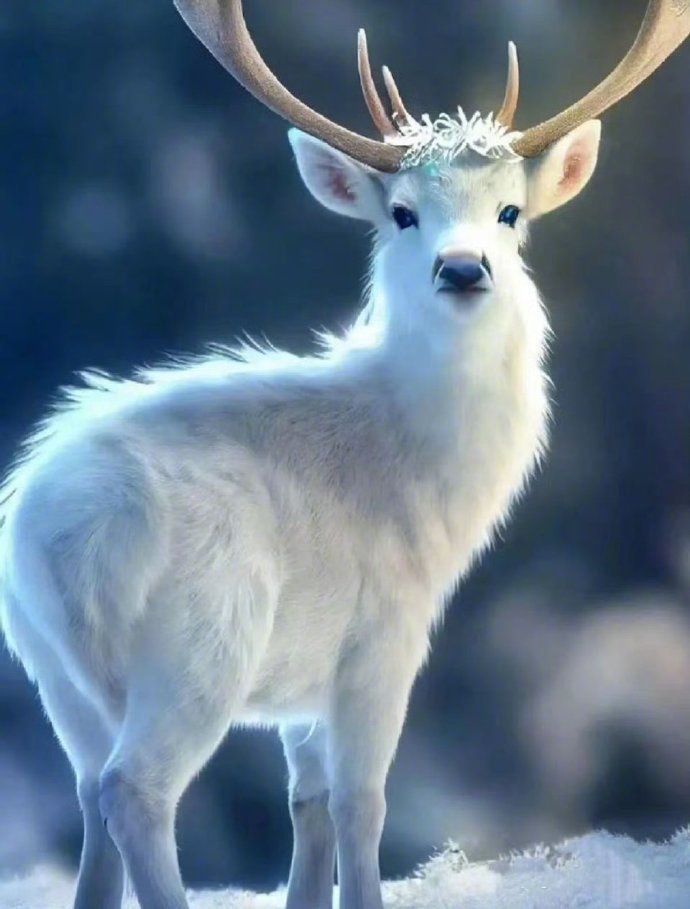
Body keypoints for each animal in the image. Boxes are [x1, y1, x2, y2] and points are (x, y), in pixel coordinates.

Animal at [1, 2, 688, 908]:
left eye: (511, 210)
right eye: (401, 212)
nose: (462, 268)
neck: (419, 473)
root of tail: (48, 536)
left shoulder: (303, 676)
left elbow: (310, 801)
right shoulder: (383, 634)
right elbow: (363, 802)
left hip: (53, 676)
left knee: (88, 796)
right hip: (198, 646)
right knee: (133, 790)